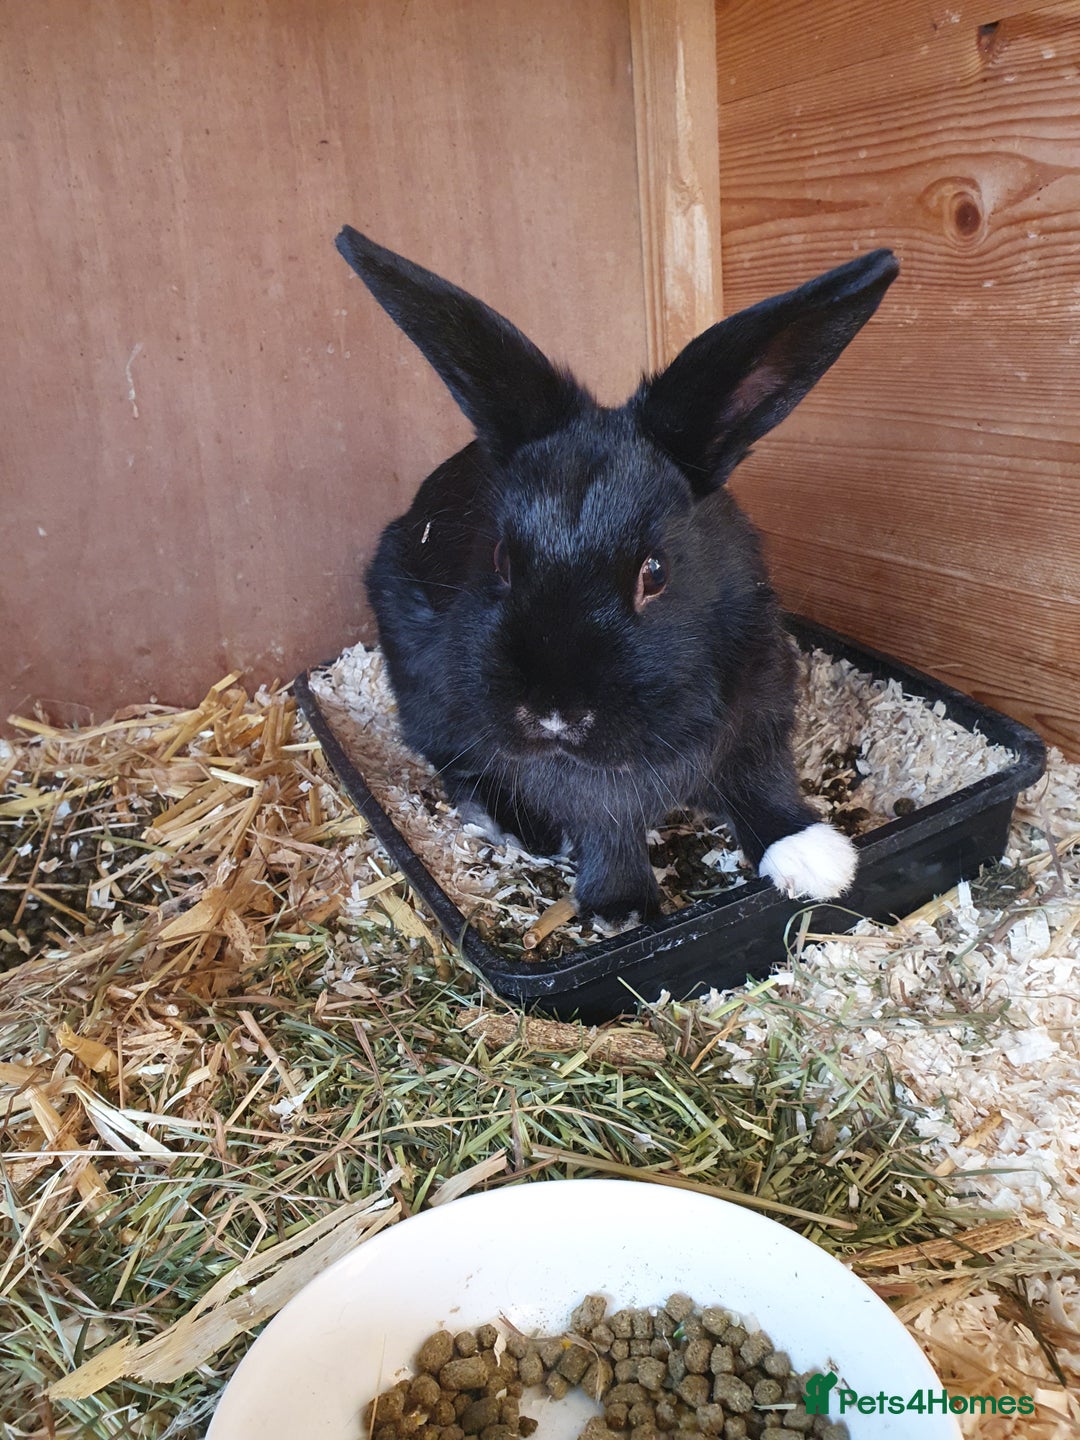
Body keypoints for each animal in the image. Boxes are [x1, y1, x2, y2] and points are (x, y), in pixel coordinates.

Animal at [335, 225, 899, 926]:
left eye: (654, 572)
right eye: (501, 560)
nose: (553, 714)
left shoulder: (758, 719)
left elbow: (763, 787)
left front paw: (815, 858)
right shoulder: (575, 783)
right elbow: (605, 824)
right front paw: (622, 907)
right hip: (428, 689)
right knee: (450, 754)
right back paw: (519, 824)